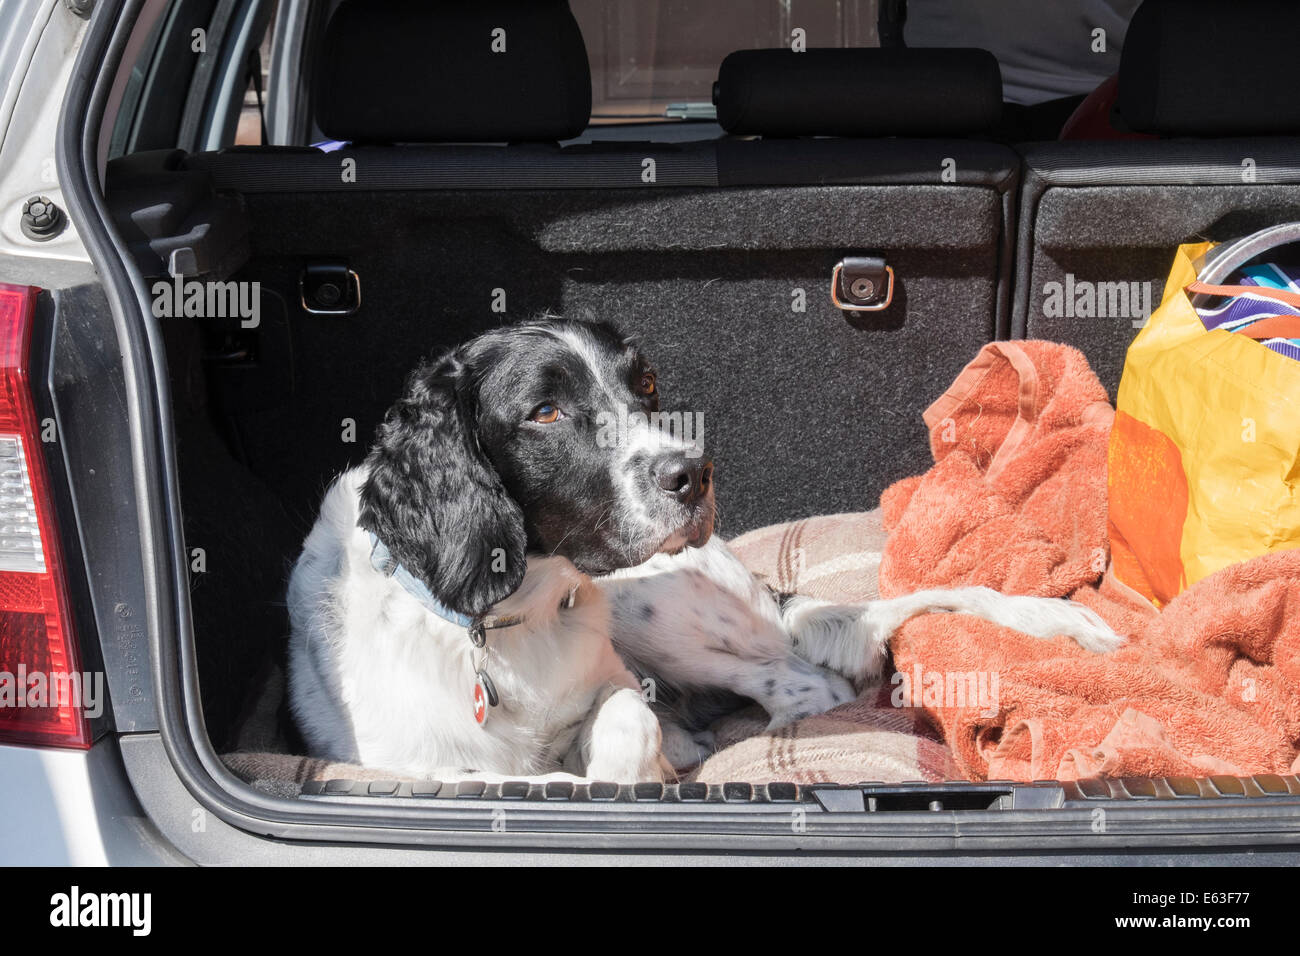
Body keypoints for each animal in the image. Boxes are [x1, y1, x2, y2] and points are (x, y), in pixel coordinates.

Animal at [289, 321, 1123, 785]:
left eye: (646, 384)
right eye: (545, 411)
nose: (693, 473)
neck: (501, 626)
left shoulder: (613, 681)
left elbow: (625, 725)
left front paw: (634, 769)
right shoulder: (425, 769)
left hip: (656, 610)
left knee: (807, 685)